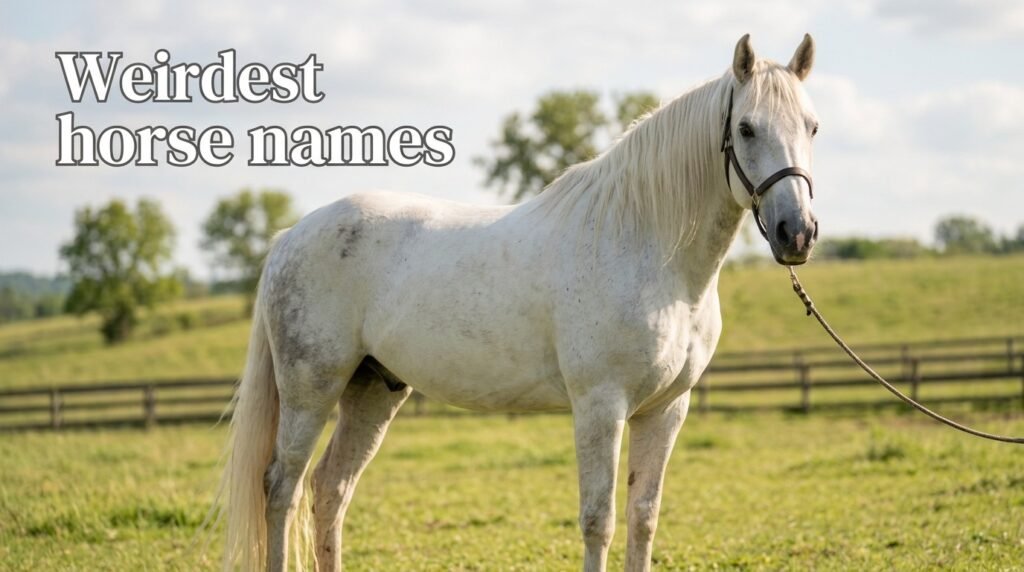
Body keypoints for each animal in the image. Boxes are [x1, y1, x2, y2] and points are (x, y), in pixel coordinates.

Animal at [219, 33, 821, 572]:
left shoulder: (666, 409)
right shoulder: (600, 405)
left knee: (331, 489)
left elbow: (643, 518)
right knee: (282, 486)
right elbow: (599, 521)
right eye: (746, 128)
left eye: (812, 126)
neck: (644, 246)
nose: (797, 233)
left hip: (372, 390)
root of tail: (290, 235)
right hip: (310, 389)